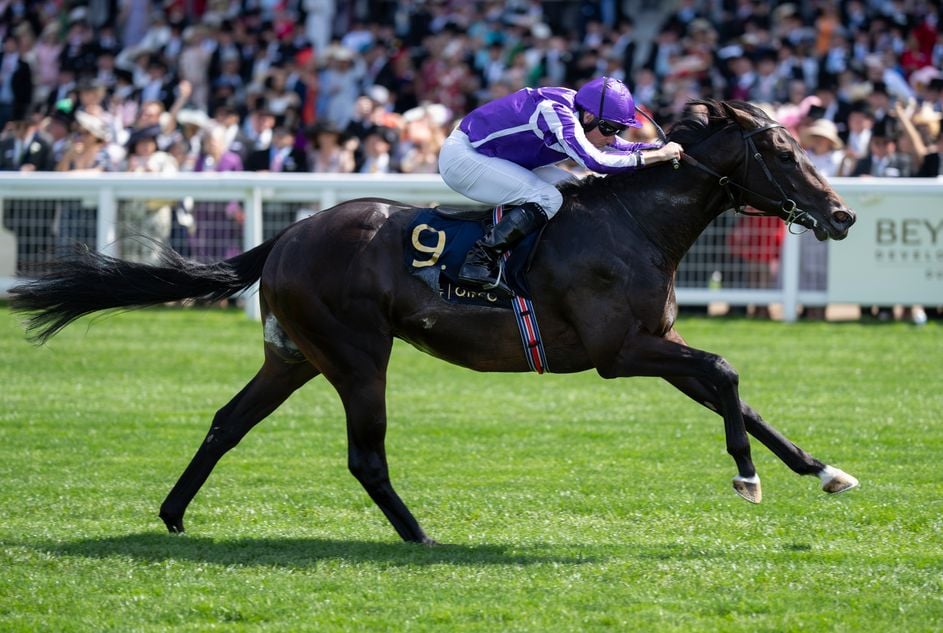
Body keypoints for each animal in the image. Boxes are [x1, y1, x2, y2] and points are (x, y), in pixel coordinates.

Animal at [10, 100, 859, 545]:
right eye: (783, 151)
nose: (842, 214)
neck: (634, 222)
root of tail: (288, 233)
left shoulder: (656, 342)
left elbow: (736, 394)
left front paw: (823, 470)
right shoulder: (622, 350)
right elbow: (725, 372)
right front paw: (746, 476)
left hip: (293, 355)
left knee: (227, 421)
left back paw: (174, 513)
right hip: (356, 353)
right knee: (364, 456)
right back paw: (418, 535)